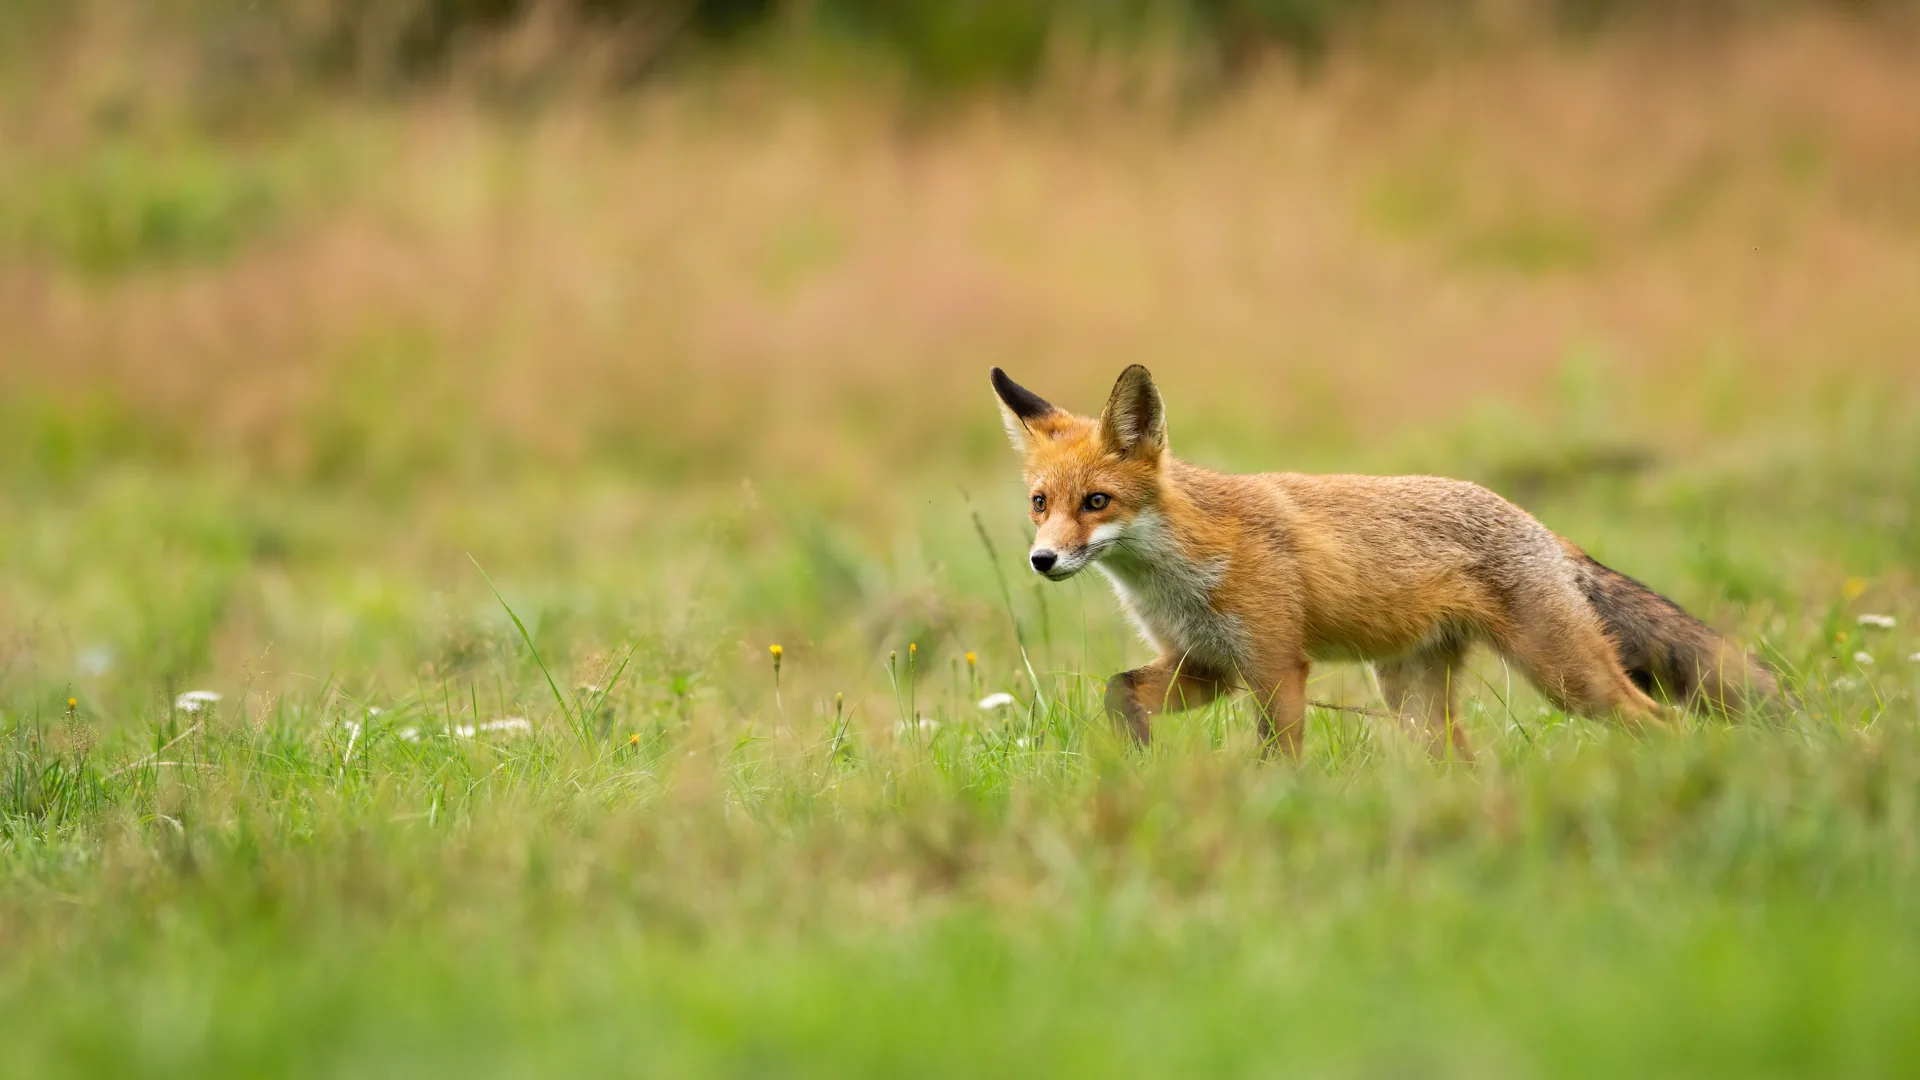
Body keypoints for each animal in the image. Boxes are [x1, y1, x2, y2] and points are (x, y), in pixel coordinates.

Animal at [990, 364, 1782, 760]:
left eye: (1097, 502)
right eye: (1039, 503)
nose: (1042, 560)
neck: (1176, 569)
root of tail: (1543, 531)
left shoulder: (1276, 665)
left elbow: (1278, 759)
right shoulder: (1208, 664)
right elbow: (1116, 690)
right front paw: (1138, 756)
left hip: (1566, 679)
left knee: (1661, 721)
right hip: (1413, 698)